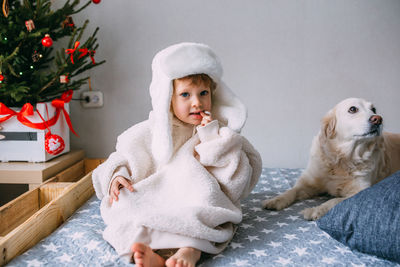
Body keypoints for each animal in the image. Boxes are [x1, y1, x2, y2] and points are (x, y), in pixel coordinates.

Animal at [262, 98, 400, 222]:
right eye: (353, 109)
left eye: (373, 109)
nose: (378, 119)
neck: (343, 159)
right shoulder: (308, 184)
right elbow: (292, 190)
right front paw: (276, 200)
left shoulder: (359, 191)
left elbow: (333, 201)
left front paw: (316, 210)